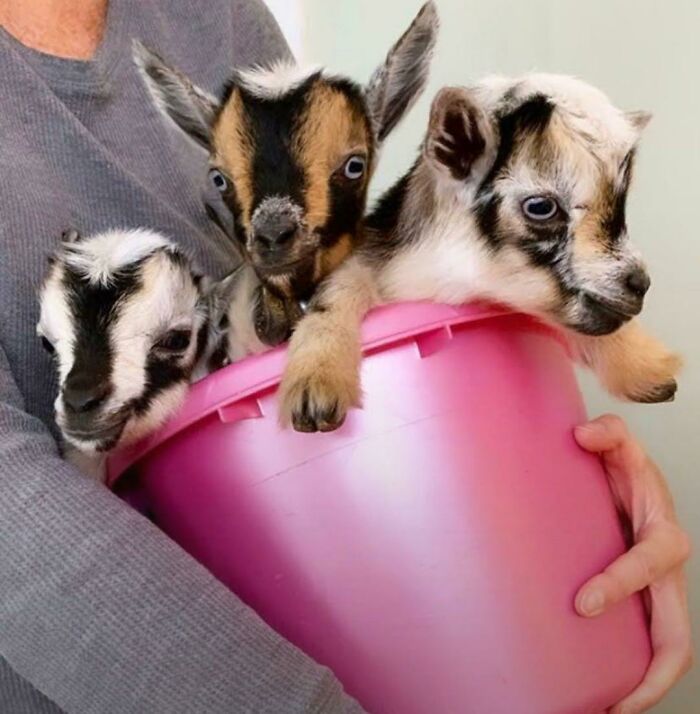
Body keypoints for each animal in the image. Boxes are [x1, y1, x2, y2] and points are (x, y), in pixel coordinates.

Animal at [278, 74, 682, 432]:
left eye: (622, 200)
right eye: (541, 207)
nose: (639, 283)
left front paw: (646, 367)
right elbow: (336, 292)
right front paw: (316, 386)